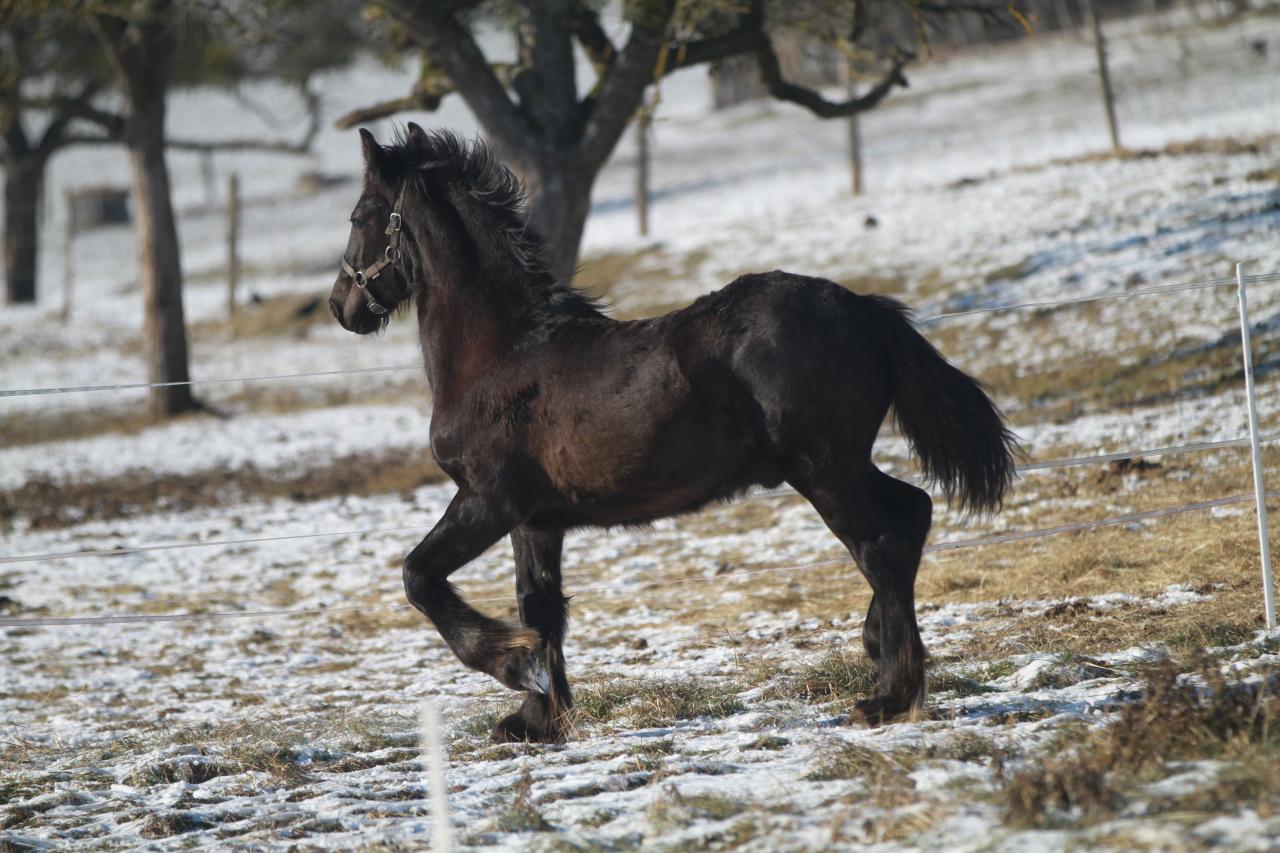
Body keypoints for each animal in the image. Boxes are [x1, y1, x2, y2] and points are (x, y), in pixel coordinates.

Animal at [330, 122, 1018, 742]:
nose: (342, 306)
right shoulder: (536, 520)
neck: (503, 354)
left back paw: (887, 697)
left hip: (824, 468)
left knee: (881, 545)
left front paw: (514, 666)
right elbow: (540, 606)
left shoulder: (487, 500)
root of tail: (864, 309)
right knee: (913, 511)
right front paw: (537, 717)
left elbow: (420, 577)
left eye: (362, 215)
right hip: (841, 464)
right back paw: (885, 656)